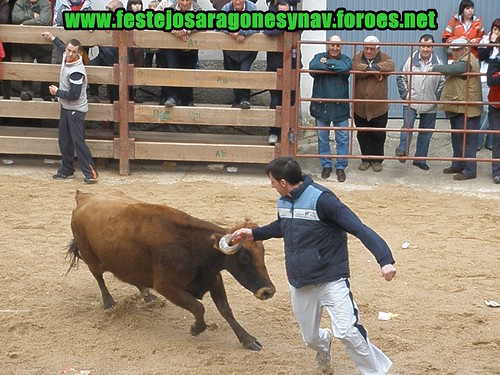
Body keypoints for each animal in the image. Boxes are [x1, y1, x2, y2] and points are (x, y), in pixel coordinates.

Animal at [66, 191, 276, 352]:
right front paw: (196, 329)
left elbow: (225, 310)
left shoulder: (213, 278)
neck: (193, 247)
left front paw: (248, 340)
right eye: (244, 258)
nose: (269, 291)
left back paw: (149, 297)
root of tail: (83, 197)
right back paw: (109, 303)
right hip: (91, 257)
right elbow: (198, 307)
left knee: (136, 278)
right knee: (98, 276)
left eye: (263, 253)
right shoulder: (166, 286)